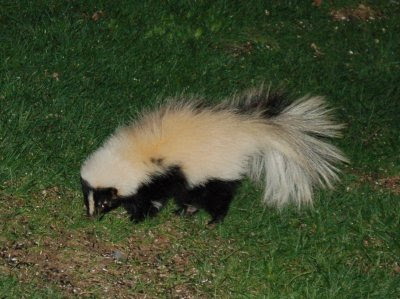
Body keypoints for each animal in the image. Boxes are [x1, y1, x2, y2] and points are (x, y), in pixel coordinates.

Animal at [80, 88, 346, 224]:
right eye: (88, 200)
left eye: (105, 202)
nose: (91, 217)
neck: (131, 156)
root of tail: (245, 130)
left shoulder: (161, 174)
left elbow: (151, 199)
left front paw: (139, 217)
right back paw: (187, 211)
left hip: (215, 173)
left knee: (217, 197)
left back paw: (213, 219)